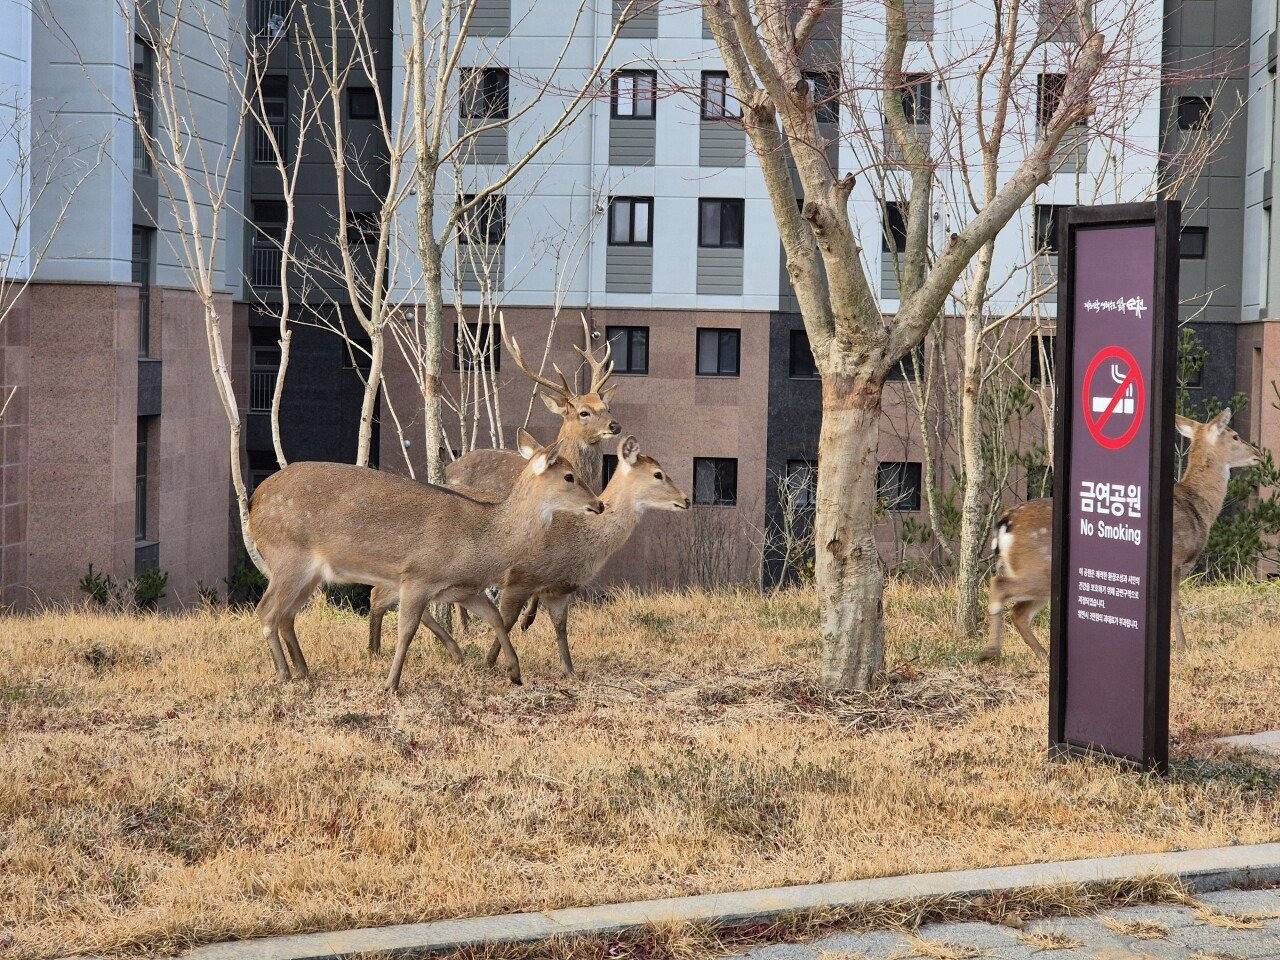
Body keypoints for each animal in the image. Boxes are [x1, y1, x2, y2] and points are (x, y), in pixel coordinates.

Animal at [252, 440, 606, 696]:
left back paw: (304, 671)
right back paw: (285, 674)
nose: (599, 504)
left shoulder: (463, 588)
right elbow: (407, 630)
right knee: (266, 611)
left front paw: (514, 672)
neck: (483, 539)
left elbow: (495, 618)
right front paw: (391, 685)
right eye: (570, 476)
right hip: (287, 556)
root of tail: (254, 502)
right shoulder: (417, 576)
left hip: (310, 573)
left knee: (286, 615)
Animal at [983, 409, 1264, 665]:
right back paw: (991, 651)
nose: (1258, 454)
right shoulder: (1175, 558)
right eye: (1235, 436)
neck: (1197, 507)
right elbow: (1175, 603)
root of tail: (1006, 522)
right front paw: (1183, 646)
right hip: (1040, 567)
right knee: (1000, 587)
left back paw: (1042, 656)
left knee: (1018, 613)